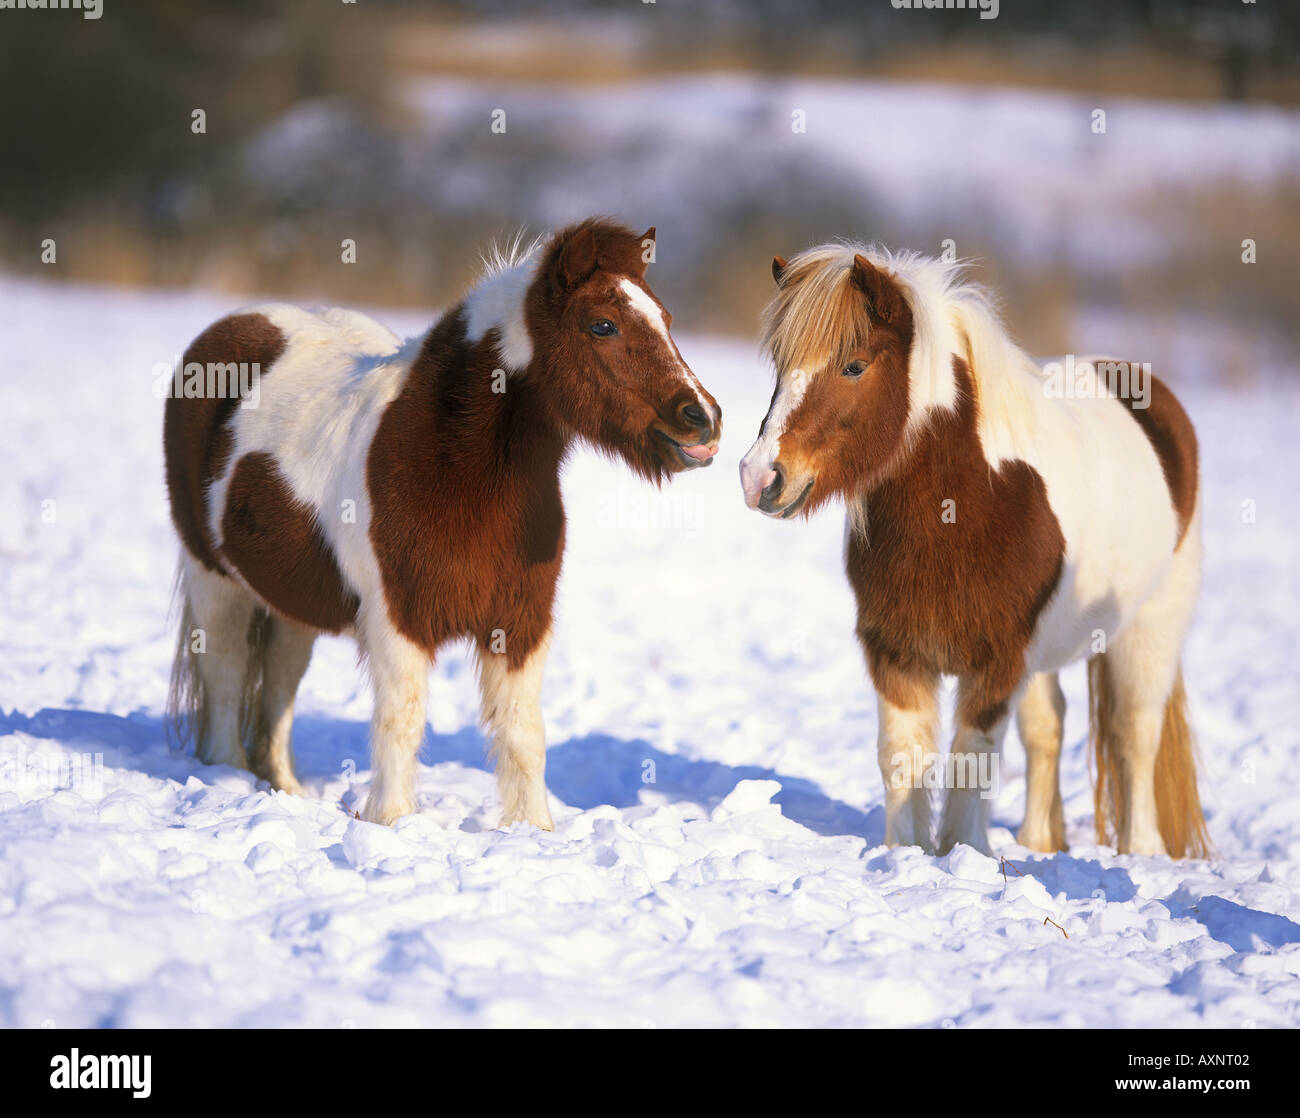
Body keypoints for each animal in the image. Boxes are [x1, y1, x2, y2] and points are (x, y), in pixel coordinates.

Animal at [165, 220, 722, 832]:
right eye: (603, 325)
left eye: (665, 318)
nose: (703, 419)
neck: (451, 468)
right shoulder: (399, 621)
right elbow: (401, 722)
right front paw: (389, 822)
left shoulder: (521, 623)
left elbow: (523, 732)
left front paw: (533, 830)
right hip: (214, 579)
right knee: (223, 673)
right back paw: (228, 776)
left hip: (291, 605)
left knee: (279, 685)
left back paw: (283, 788)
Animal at [743, 241, 1206, 857]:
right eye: (780, 366)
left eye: (854, 365)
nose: (758, 477)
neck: (970, 503)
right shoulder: (897, 654)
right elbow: (903, 756)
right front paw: (905, 855)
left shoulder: (996, 662)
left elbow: (974, 759)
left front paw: (963, 852)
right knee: (1048, 728)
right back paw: (1037, 841)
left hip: (1150, 628)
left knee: (1134, 732)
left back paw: (1141, 850)